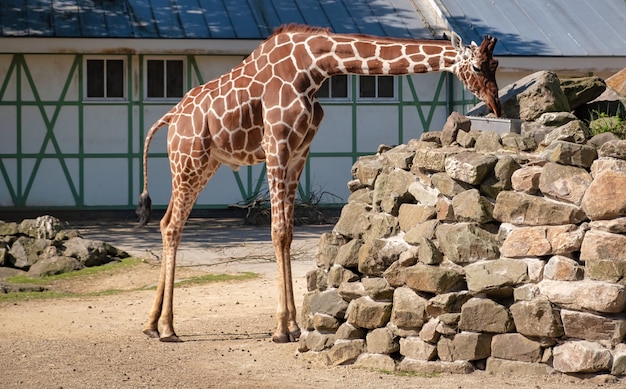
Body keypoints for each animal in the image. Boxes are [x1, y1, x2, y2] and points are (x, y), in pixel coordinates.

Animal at [134, 24, 500, 342]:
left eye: (495, 64)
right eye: (478, 66)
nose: (495, 106)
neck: (314, 68)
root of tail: (171, 117)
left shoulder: (299, 152)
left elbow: (288, 232)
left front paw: (294, 326)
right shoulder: (276, 146)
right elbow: (277, 230)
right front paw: (281, 329)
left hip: (202, 165)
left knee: (168, 223)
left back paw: (152, 325)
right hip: (188, 161)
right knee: (172, 226)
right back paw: (166, 328)